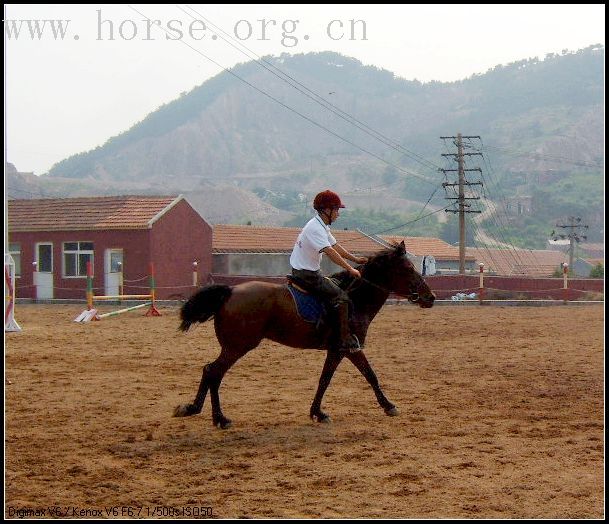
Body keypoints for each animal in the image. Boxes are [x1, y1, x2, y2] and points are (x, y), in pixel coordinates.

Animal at [173, 239, 434, 428]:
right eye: (408, 268)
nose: (429, 297)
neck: (356, 299)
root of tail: (230, 291)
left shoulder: (336, 351)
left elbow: (326, 379)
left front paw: (318, 412)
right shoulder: (349, 348)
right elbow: (369, 375)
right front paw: (388, 405)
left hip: (234, 347)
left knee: (211, 372)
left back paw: (198, 411)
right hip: (237, 347)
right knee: (213, 372)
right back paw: (217, 417)